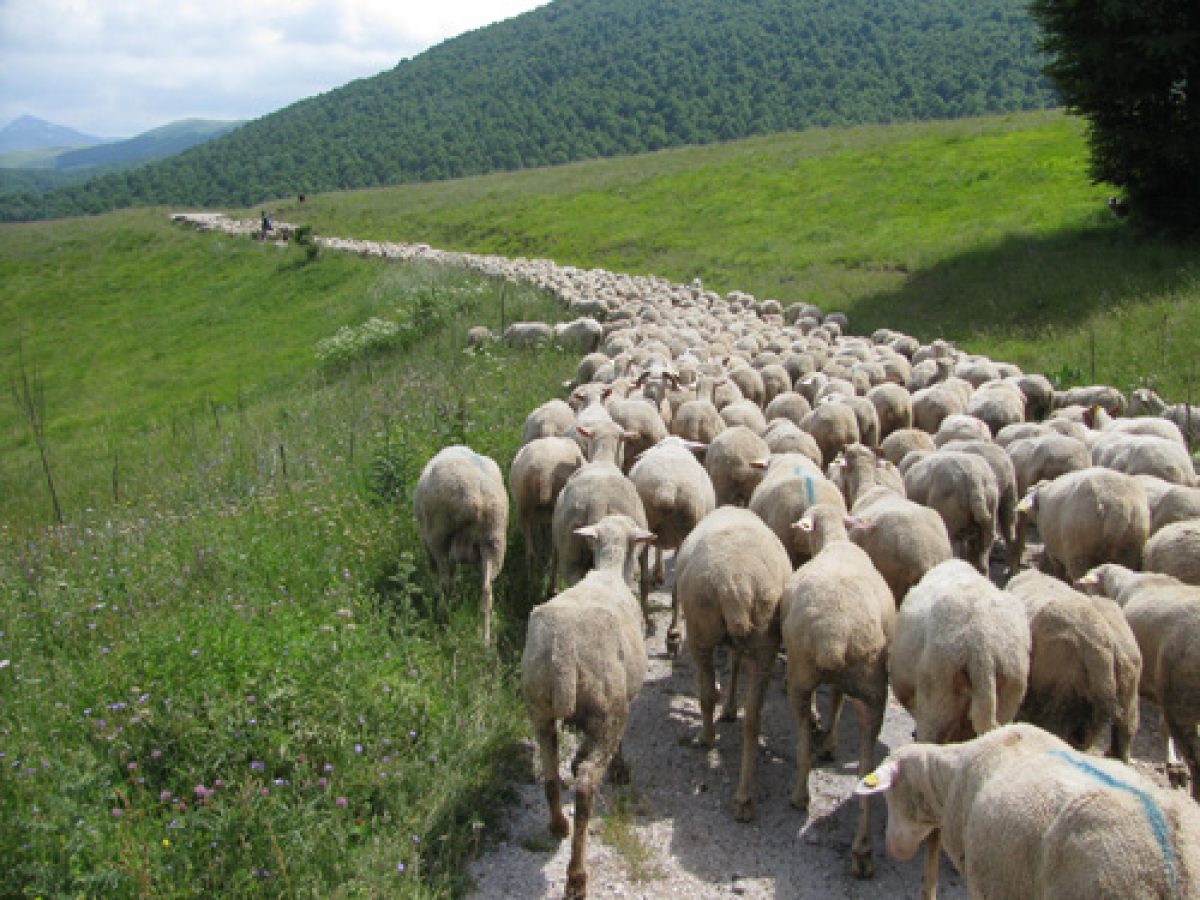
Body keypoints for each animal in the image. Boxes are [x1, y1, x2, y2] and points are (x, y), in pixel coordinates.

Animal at [412, 445, 509, 645]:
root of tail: (476, 498)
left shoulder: (427, 540)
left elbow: (434, 571)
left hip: (438, 536)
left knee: (445, 582)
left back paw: (443, 615)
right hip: (494, 540)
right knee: (486, 591)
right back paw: (485, 640)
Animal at [522, 515, 656, 900]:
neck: (608, 571)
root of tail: (564, 654)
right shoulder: (621, 702)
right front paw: (621, 768)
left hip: (539, 705)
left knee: (551, 774)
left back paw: (557, 826)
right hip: (606, 709)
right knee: (584, 786)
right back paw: (577, 876)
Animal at [671, 506, 792, 821]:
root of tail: (737, 586)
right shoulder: (744, 643)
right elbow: (735, 663)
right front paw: (729, 708)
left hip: (700, 631)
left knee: (705, 694)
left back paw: (706, 737)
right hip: (766, 640)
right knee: (753, 719)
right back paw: (744, 799)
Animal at [782, 504, 896, 878]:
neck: (835, 541)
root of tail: (833, 635)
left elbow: (833, 700)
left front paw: (827, 741)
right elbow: (836, 698)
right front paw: (831, 742)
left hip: (801, 675)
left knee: (803, 744)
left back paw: (799, 797)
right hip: (873, 690)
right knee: (865, 773)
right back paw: (863, 851)